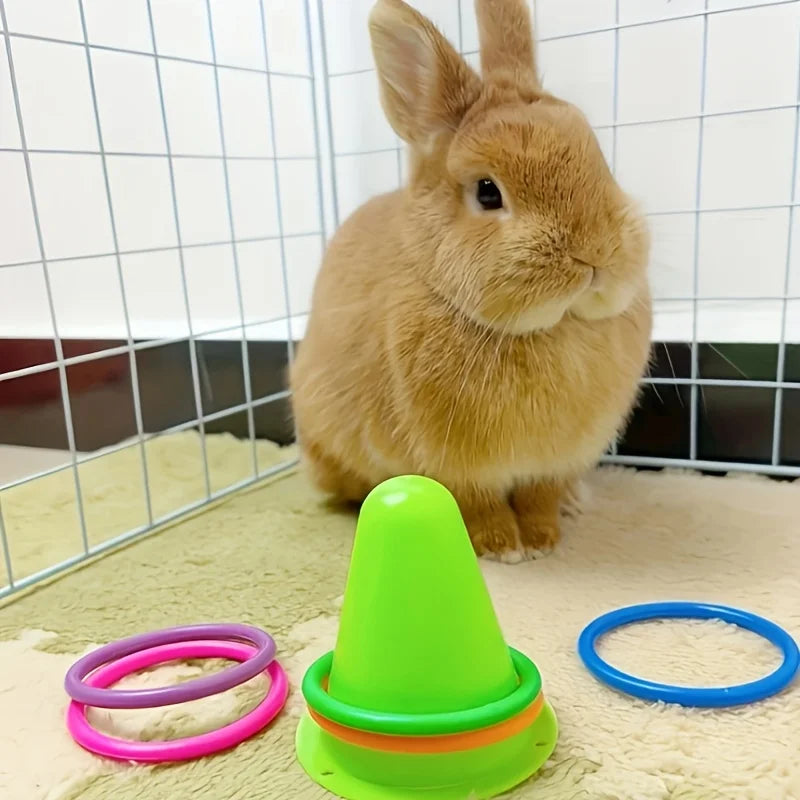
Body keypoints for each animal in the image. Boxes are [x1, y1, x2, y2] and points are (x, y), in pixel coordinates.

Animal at [290, 0, 652, 562]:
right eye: (487, 192)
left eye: (601, 162)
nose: (595, 254)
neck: (548, 329)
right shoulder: (456, 469)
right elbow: (477, 506)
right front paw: (503, 548)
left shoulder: (552, 463)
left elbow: (540, 496)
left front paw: (543, 539)